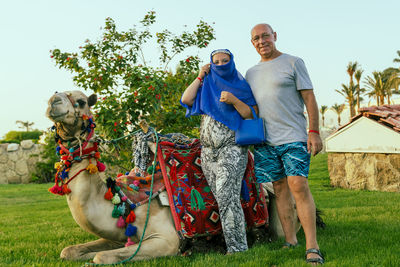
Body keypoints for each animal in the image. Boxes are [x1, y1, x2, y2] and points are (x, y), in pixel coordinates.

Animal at [46, 91, 300, 264]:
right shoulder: (121, 236)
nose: (52, 102)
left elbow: (100, 257)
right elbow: (68, 251)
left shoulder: (166, 240)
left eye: (80, 101)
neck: (121, 200)